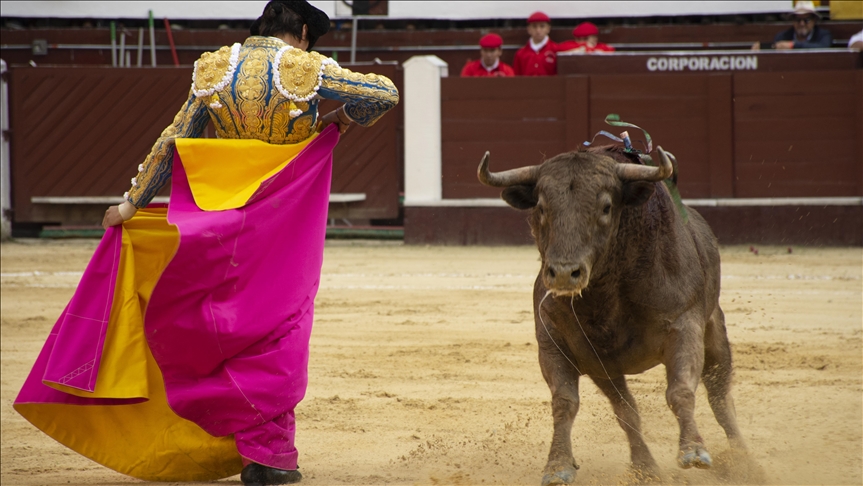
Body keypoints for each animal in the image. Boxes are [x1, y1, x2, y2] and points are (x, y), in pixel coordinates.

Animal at [480, 146, 756, 484]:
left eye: (607, 207)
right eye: (541, 207)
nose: (563, 274)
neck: (608, 293)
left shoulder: (684, 326)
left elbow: (680, 391)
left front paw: (693, 451)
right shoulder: (564, 346)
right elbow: (571, 403)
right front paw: (559, 466)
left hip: (714, 331)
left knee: (720, 397)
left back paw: (745, 464)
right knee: (628, 409)